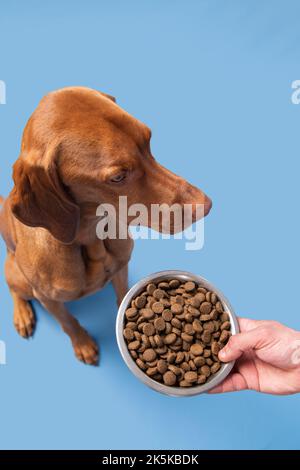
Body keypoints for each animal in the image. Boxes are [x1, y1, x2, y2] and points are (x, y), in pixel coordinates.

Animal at [0, 87, 211, 364]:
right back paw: (22, 314)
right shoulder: (48, 299)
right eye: (118, 177)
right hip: (19, 278)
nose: (205, 205)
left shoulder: (121, 270)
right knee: (13, 289)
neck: (91, 238)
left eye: (148, 140)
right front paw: (83, 344)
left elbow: (123, 297)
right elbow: (68, 323)